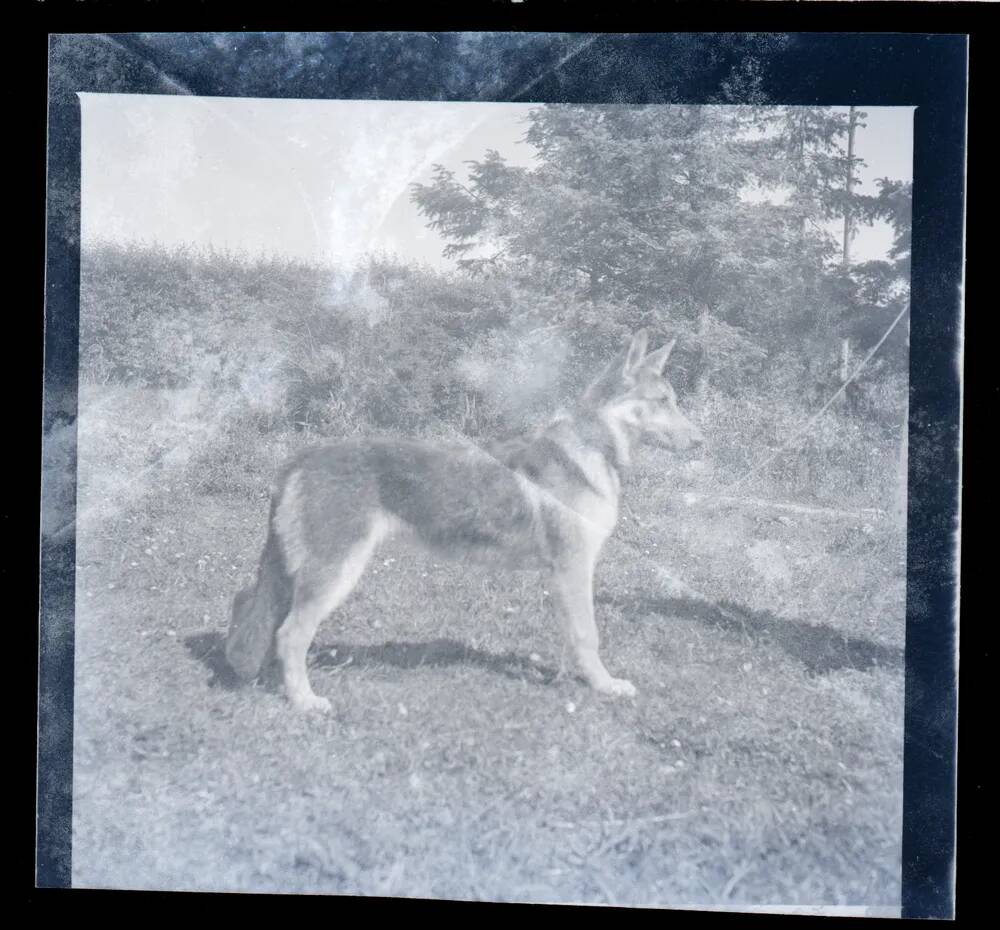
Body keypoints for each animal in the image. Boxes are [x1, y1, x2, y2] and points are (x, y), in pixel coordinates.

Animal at [225, 330, 704, 716]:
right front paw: (604, 686)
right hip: (334, 573)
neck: (590, 448)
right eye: (663, 402)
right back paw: (304, 701)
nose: (701, 441)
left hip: (293, 574)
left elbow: (574, 635)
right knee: (290, 634)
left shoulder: (566, 577)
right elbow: (589, 636)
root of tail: (300, 459)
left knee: (250, 608)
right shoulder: (573, 569)